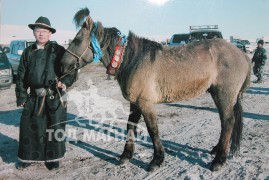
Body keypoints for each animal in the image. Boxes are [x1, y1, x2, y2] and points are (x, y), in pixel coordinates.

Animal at [59, 7, 250, 172]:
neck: (132, 60)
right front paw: (125, 156)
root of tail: (242, 53)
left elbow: (153, 130)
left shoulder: (146, 103)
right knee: (225, 122)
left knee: (228, 121)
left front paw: (156, 160)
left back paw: (219, 160)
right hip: (218, 95)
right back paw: (217, 150)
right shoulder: (135, 103)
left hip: (224, 95)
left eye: (77, 40)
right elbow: (130, 126)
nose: (61, 65)